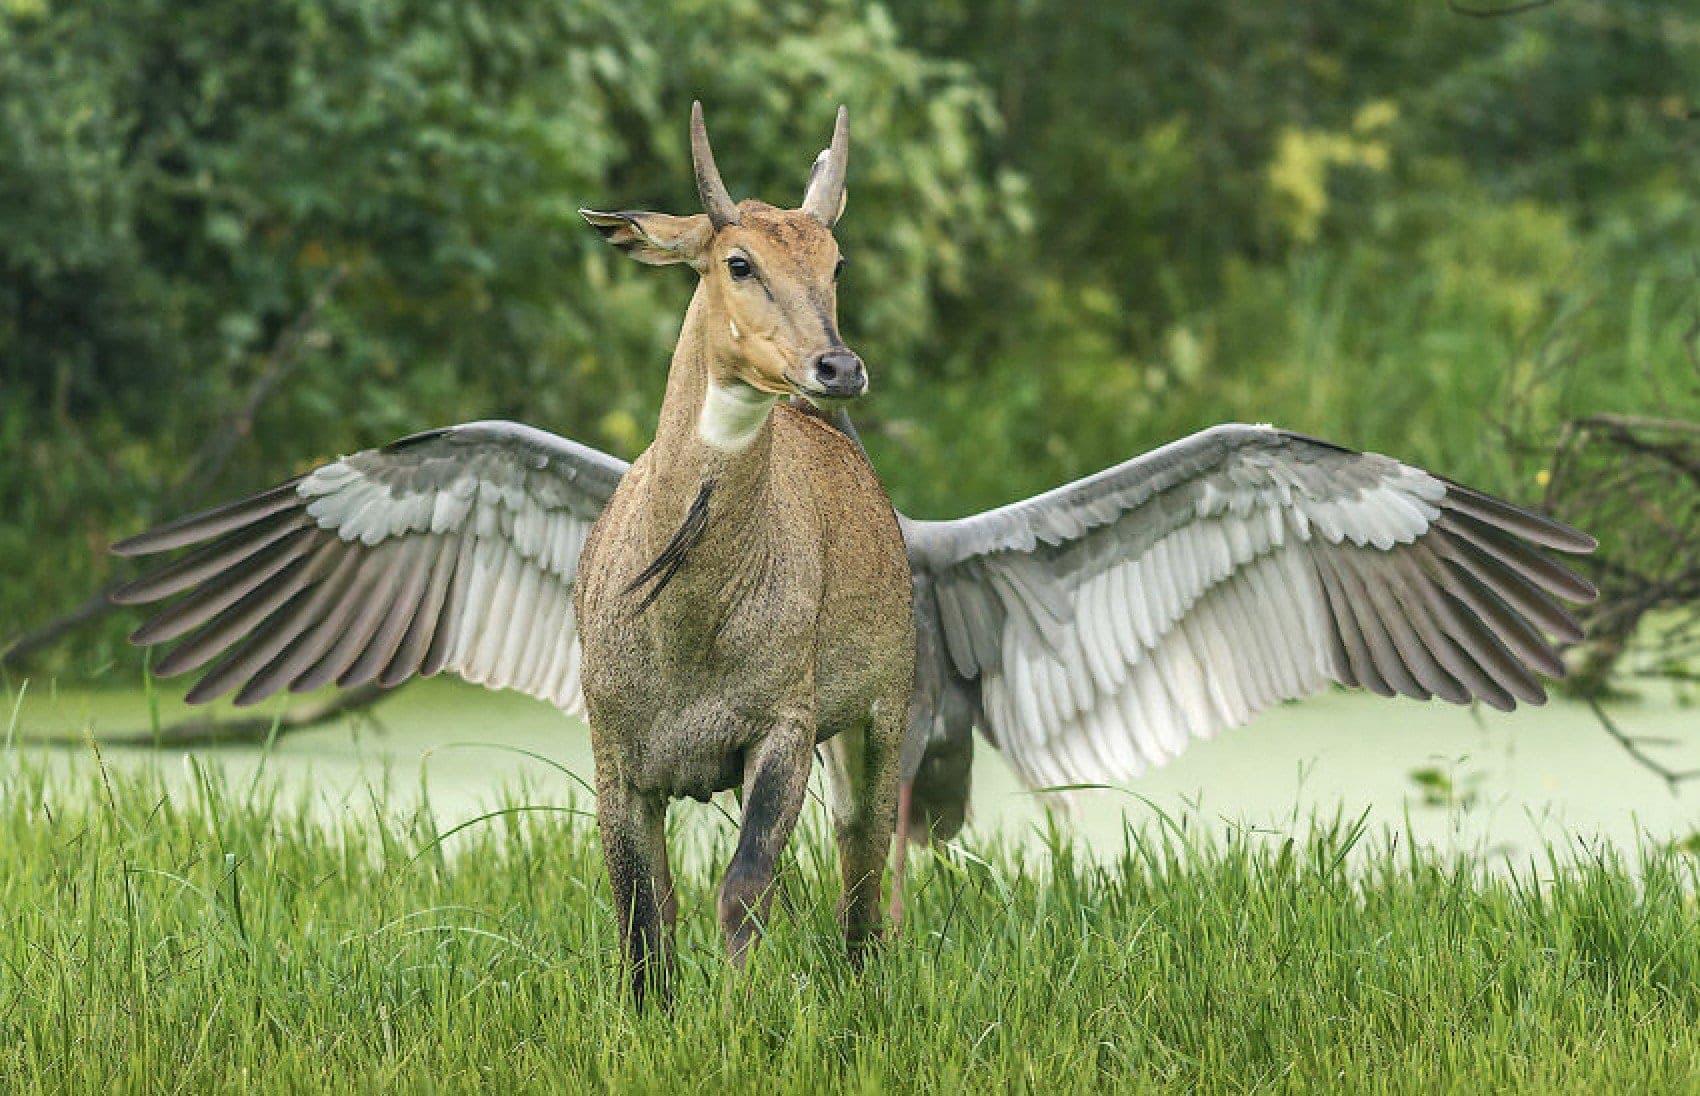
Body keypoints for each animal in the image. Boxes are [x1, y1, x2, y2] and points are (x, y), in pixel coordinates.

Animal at [106, 104, 1591, 999]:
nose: (839, 364)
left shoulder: (792, 736)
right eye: (733, 260)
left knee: (873, 896)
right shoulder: (615, 758)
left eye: (836, 257)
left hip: (887, 743)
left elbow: (749, 899)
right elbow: (642, 929)